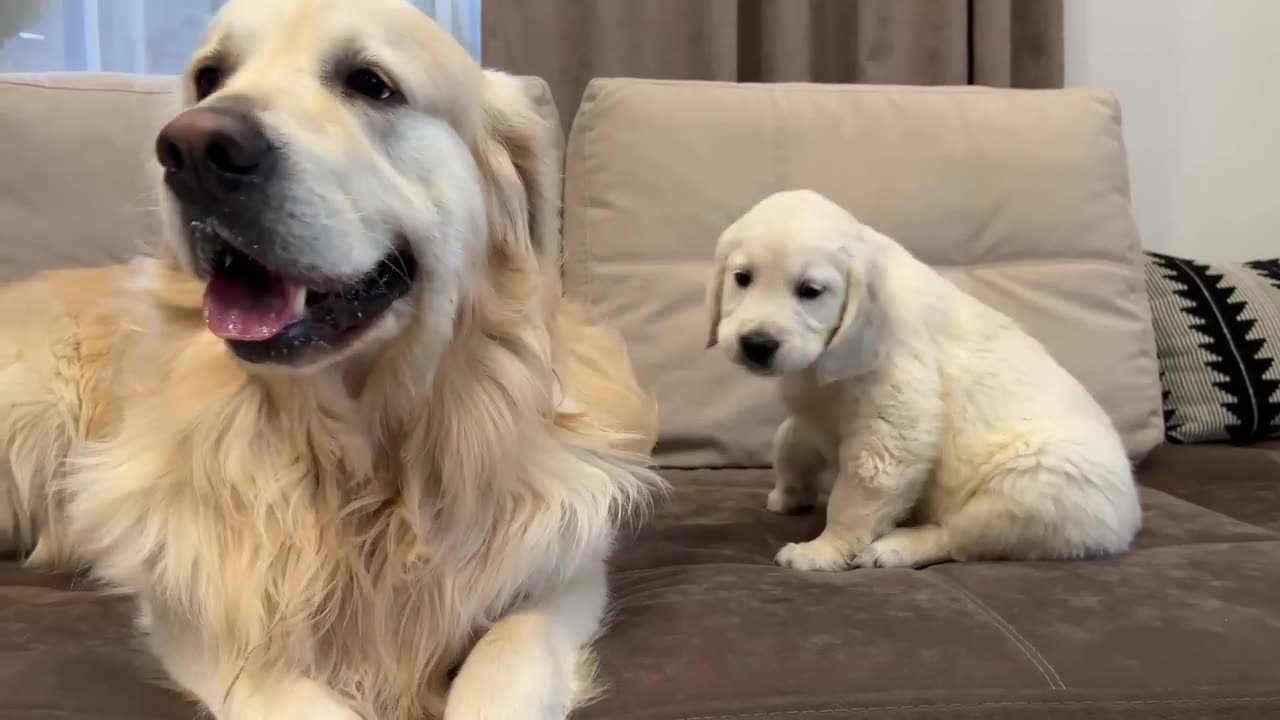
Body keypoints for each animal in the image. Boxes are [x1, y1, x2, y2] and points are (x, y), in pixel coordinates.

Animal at [0, 1, 660, 717]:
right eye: (209, 78)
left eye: (371, 83)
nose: (194, 149)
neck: (361, 464)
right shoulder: (199, 614)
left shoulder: (563, 578)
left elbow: (509, 652)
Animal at [711, 189, 1141, 571]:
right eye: (742, 278)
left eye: (810, 291)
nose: (757, 344)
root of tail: (1131, 520)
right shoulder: (813, 409)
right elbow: (789, 438)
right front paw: (788, 493)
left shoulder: (893, 415)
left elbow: (856, 495)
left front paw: (823, 551)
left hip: (1034, 489)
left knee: (958, 535)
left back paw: (896, 547)